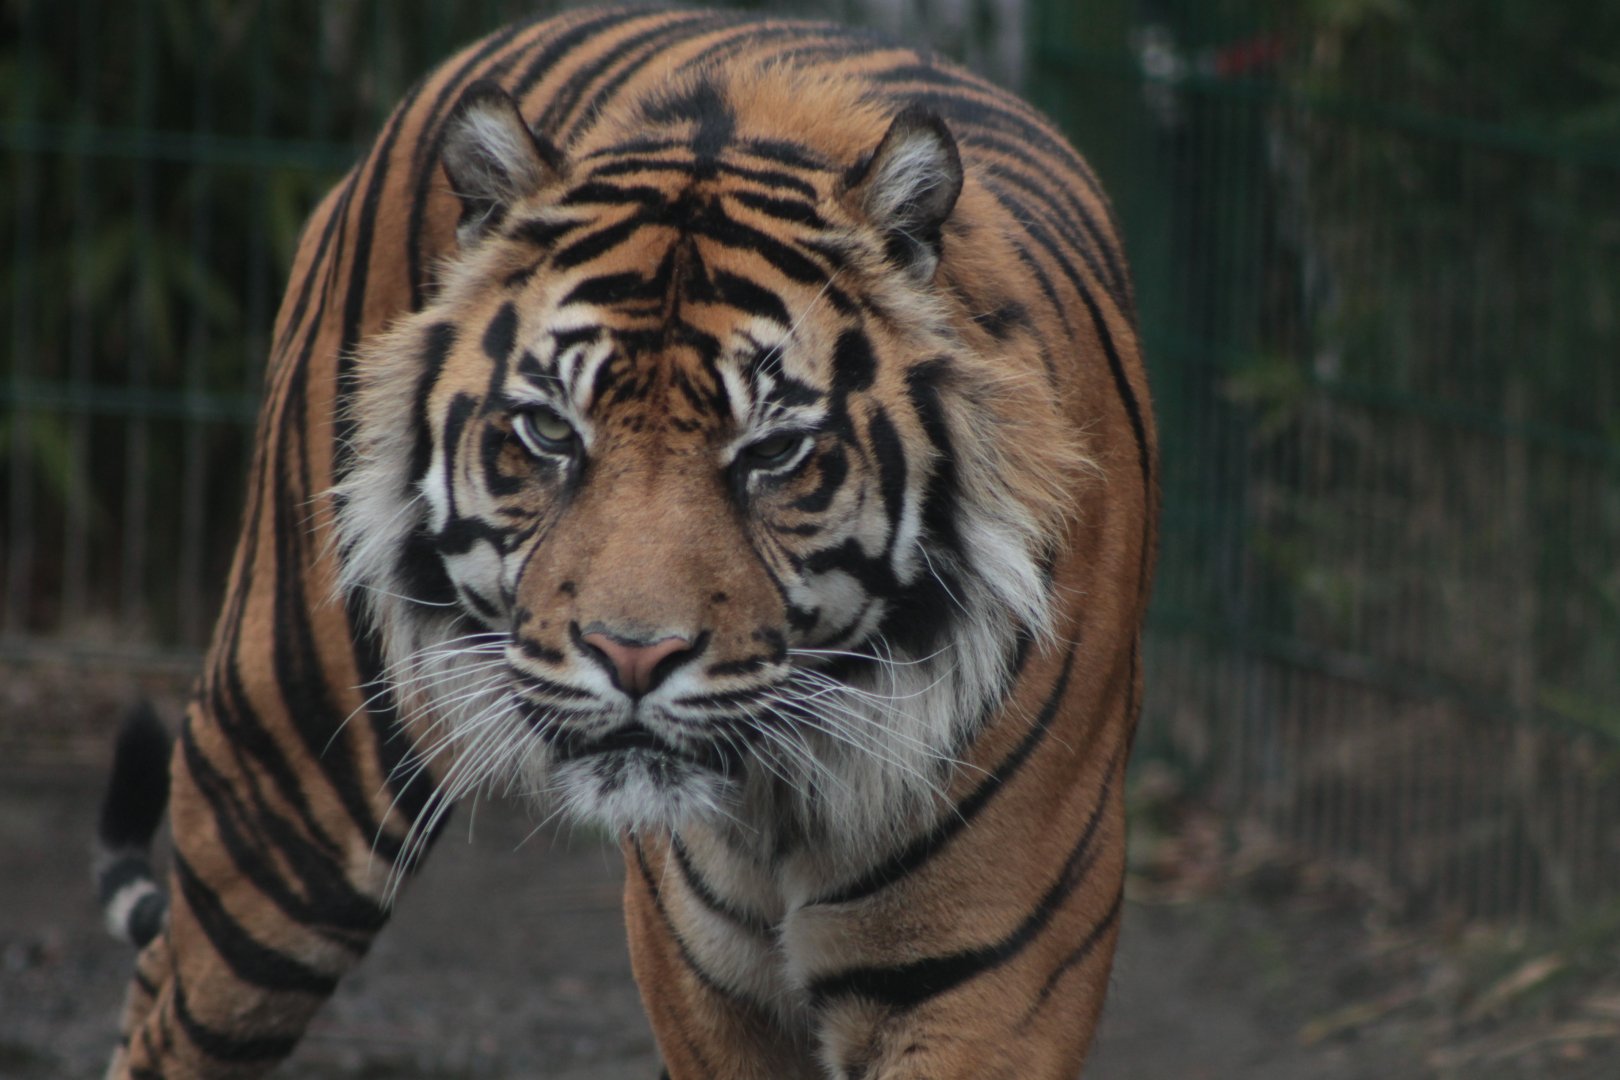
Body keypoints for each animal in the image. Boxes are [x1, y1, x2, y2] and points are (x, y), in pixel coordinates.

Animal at [95, 6, 1156, 1078]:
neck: (784, 812)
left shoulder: (986, 994)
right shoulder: (701, 987)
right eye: (550, 432)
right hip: (292, 765)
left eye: (774, 451)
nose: (632, 657)